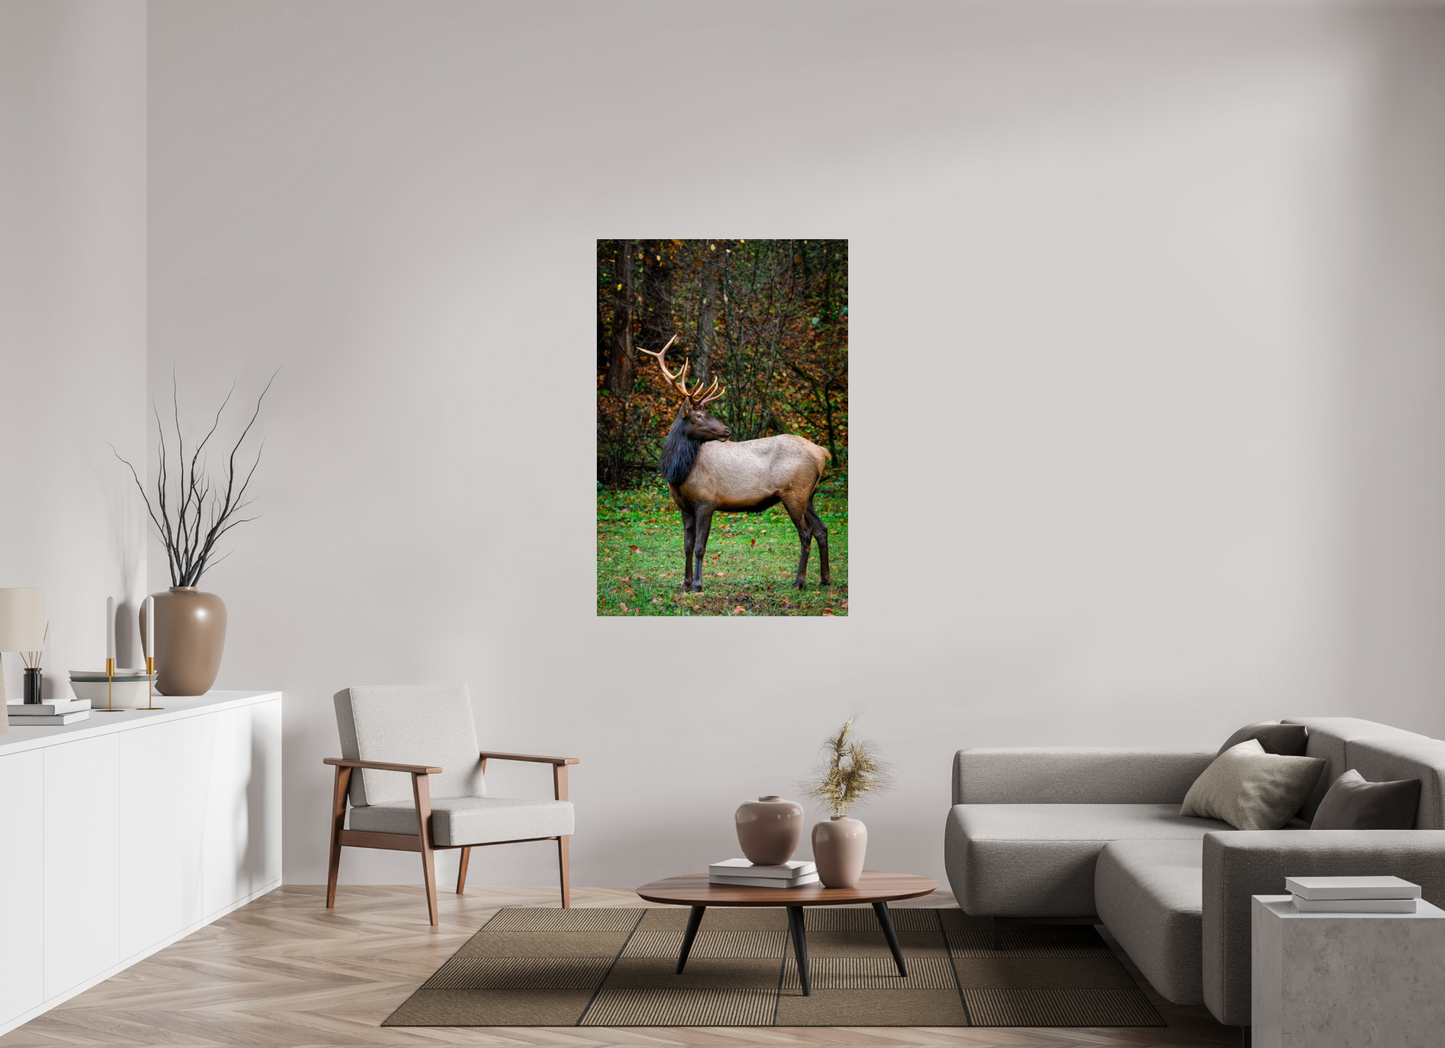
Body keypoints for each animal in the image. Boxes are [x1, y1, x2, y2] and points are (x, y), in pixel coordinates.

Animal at [639, 336, 832, 593]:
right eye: (699, 415)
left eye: (705, 412)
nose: (727, 430)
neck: (678, 472)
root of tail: (822, 452)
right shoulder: (684, 507)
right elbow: (687, 546)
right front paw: (685, 583)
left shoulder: (706, 501)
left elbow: (700, 546)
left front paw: (697, 585)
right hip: (809, 494)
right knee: (821, 529)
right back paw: (824, 579)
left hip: (794, 493)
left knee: (806, 533)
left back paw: (799, 582)